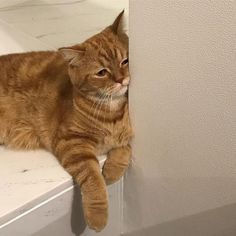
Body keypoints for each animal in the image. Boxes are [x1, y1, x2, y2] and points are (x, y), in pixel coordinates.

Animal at [0, 12, 133, 231]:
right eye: (102, 72)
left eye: (125, 61)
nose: (121, 80)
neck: (112, 111)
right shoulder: (72, 144)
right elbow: (94, 180)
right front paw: (98, 215)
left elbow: (125, 149)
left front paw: (112, 171)